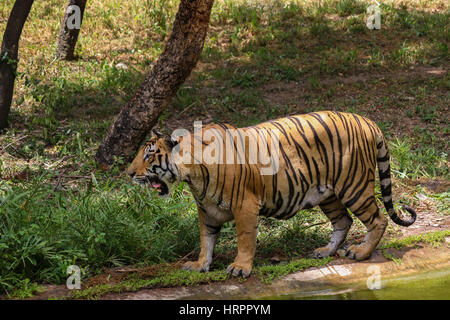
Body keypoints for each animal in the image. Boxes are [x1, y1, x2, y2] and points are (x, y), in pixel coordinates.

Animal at [125, 111, 414, 276]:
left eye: (149, 155)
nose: (128, 173)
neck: (193, 175)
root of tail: (367, 121)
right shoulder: (206, 210)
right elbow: (206, 240)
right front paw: (200, 265)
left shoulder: (245, 205)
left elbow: (245, 239)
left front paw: (240, 268)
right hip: (328, 194)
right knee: (344, 221)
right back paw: (325, 251)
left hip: (353, 186)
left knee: (378, 220)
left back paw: (360, 252)